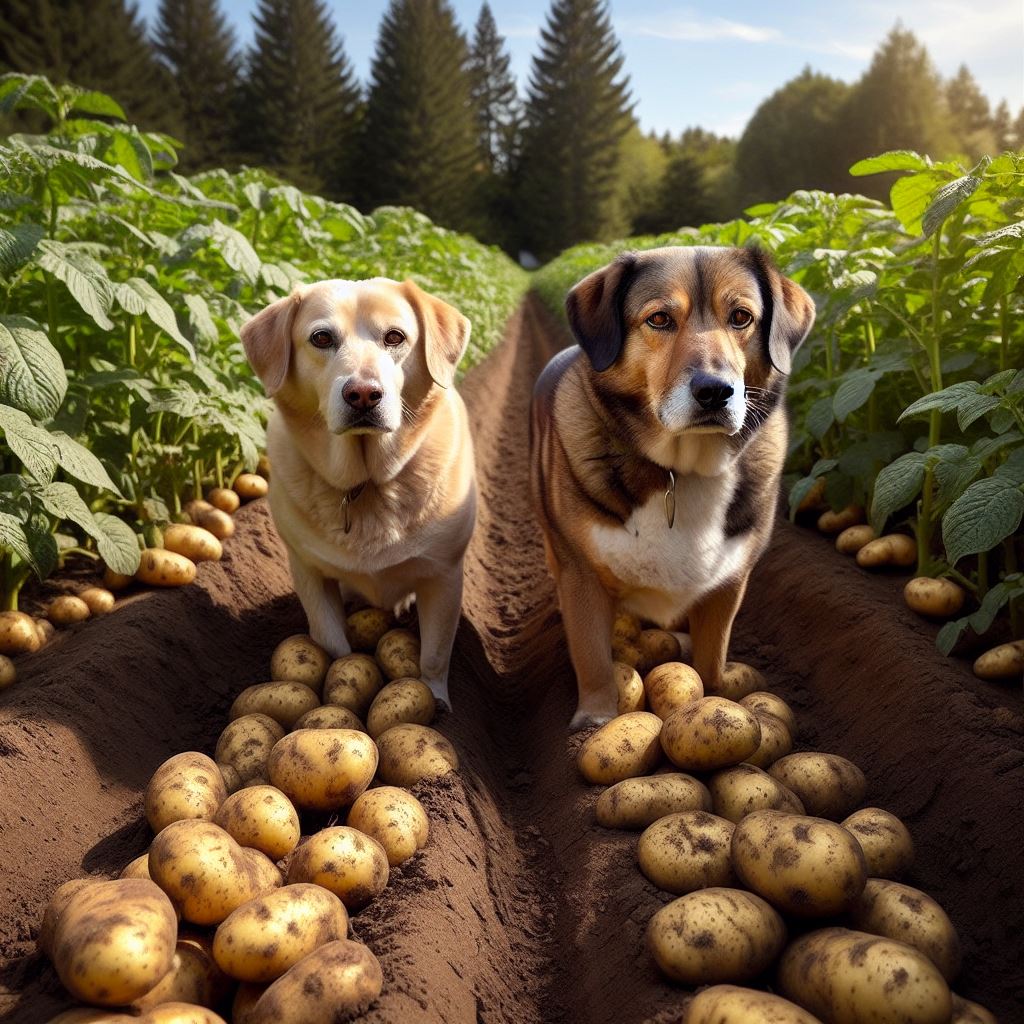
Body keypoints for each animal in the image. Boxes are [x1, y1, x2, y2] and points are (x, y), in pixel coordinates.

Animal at [241, 280, 477, 712]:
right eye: (321, 338)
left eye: (395, 337)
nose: (364, 394)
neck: (367, 482)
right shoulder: (309, 573)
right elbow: (334, 645)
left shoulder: (444, 575)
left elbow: (434, 655)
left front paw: (437, 703)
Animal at [532, 245, 811, 729]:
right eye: (659, 319)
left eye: (741, 317)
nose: (716, 391)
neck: (681, 470)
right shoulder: (582, 576)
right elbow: (593, 659)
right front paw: (594, 722)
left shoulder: (729, 583)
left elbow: (711, 661)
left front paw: (714, 702)